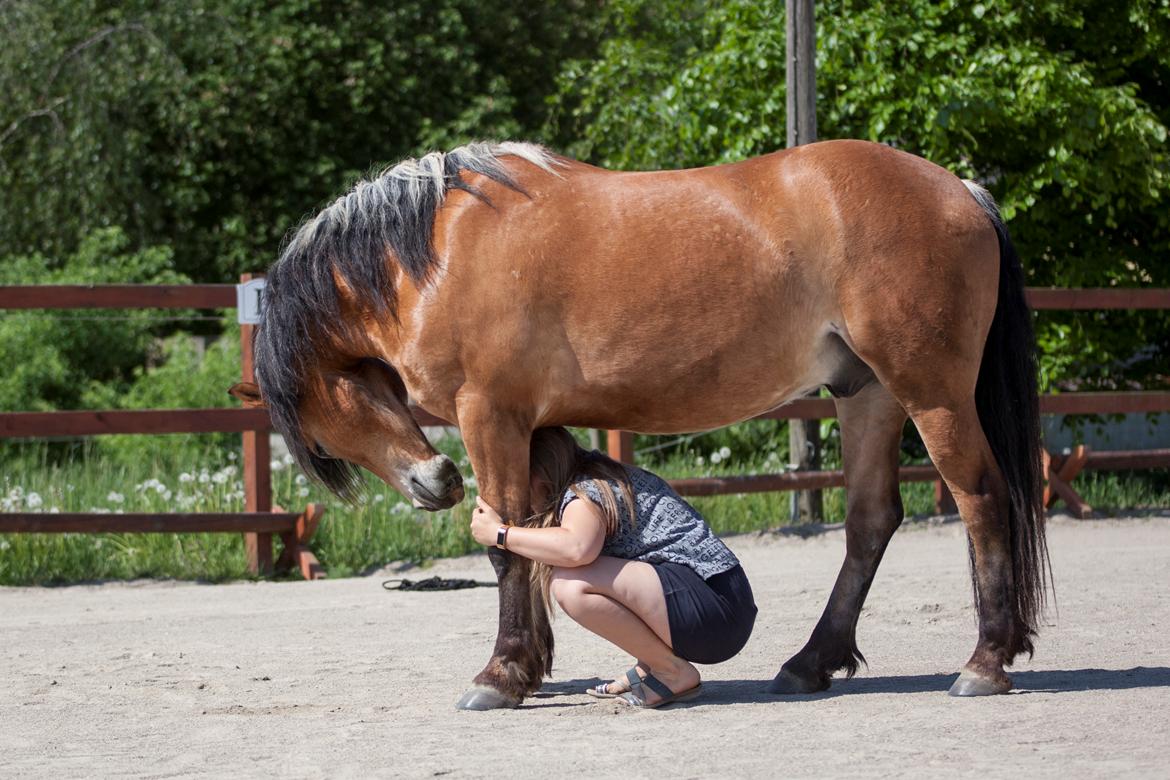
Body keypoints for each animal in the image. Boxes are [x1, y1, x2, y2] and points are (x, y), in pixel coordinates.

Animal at [230, 137, 1053, 711]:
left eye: (319, 431)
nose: (434, 483)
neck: (438, 252)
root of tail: (960, 189)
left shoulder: (489, 413)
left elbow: (504, 542)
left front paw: (500, 675)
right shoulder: (517, 425)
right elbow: (531, 536)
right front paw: (532, 667)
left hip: (930, 392)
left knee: (982, 500)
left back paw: (984, 662)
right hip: (868, 393)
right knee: (872, 521)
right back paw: (811, 662)